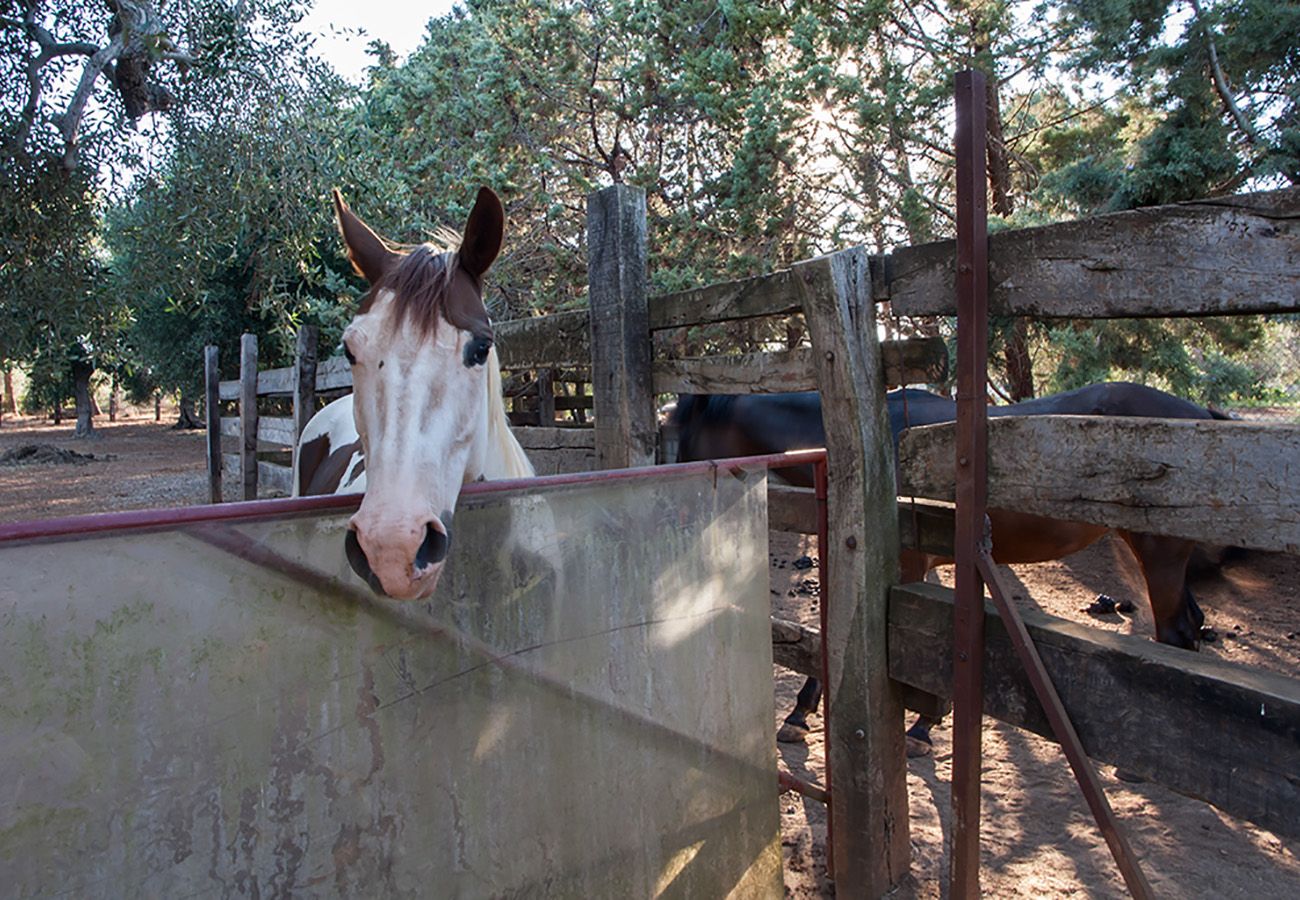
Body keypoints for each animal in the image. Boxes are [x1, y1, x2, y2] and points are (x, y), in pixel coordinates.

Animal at [670, 387, 1227, 743]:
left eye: (679, 437)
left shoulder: (905, 566)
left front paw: (912, 724)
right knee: (1189, 626)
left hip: (1158, 554)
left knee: (1175, 634)